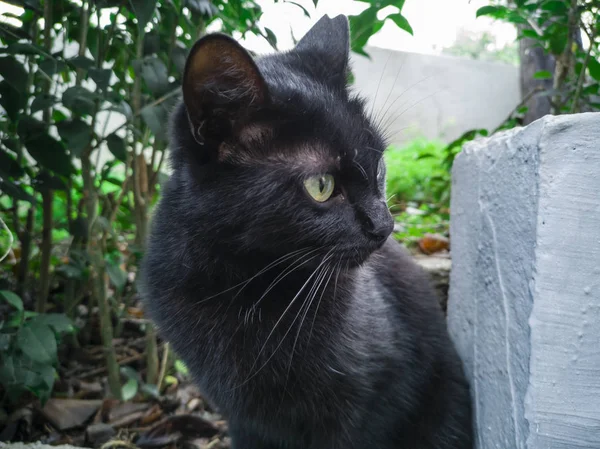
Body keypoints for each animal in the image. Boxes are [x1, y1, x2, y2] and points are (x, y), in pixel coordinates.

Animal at [142, 14, 474, 448]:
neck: (250, 288)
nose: (384, 225)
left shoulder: (370, 409)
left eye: (379, 166)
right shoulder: (242, 418)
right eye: (321, 185)